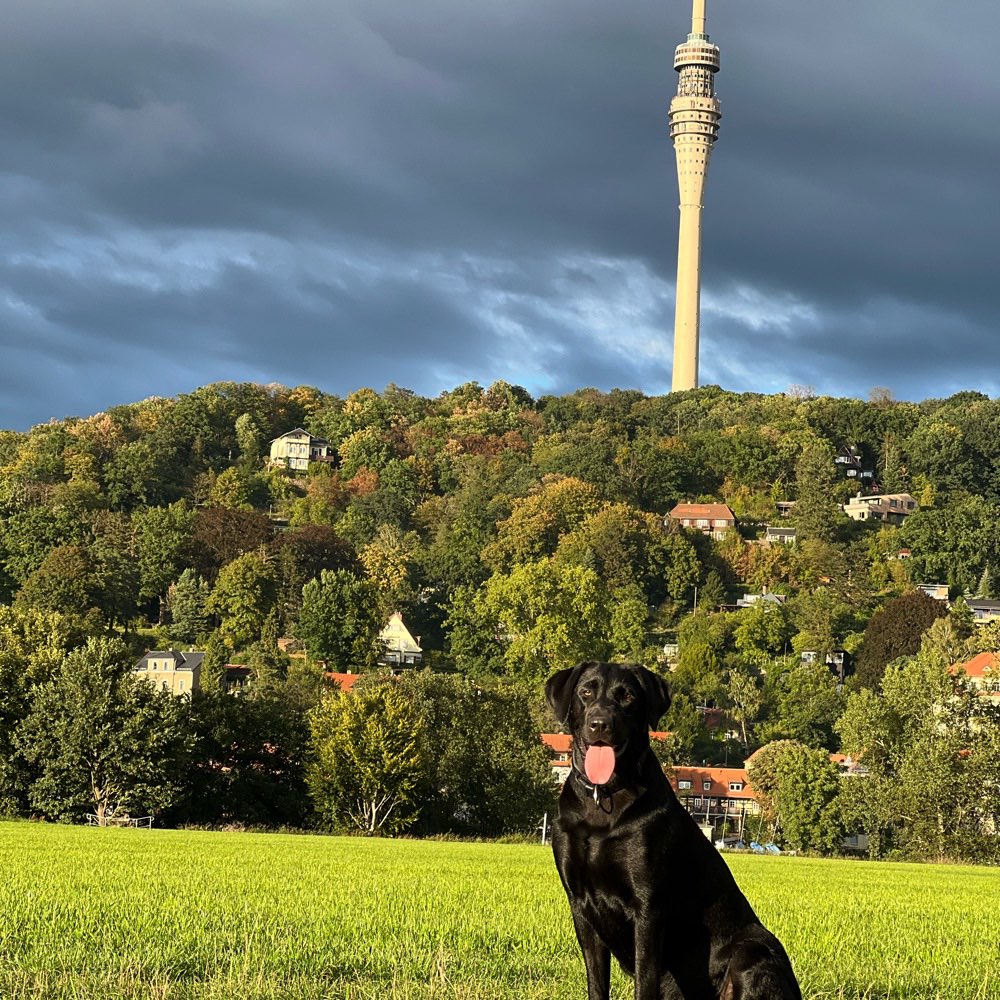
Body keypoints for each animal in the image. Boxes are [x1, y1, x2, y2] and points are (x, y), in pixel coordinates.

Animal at [544, 660, 800, 996]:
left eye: (627, 696)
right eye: (586, 692)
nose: (600, 724)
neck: (603, 797)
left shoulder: (648, 907)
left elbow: (644, 983)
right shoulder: (581, 905)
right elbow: (597, 984)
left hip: (753, 949)